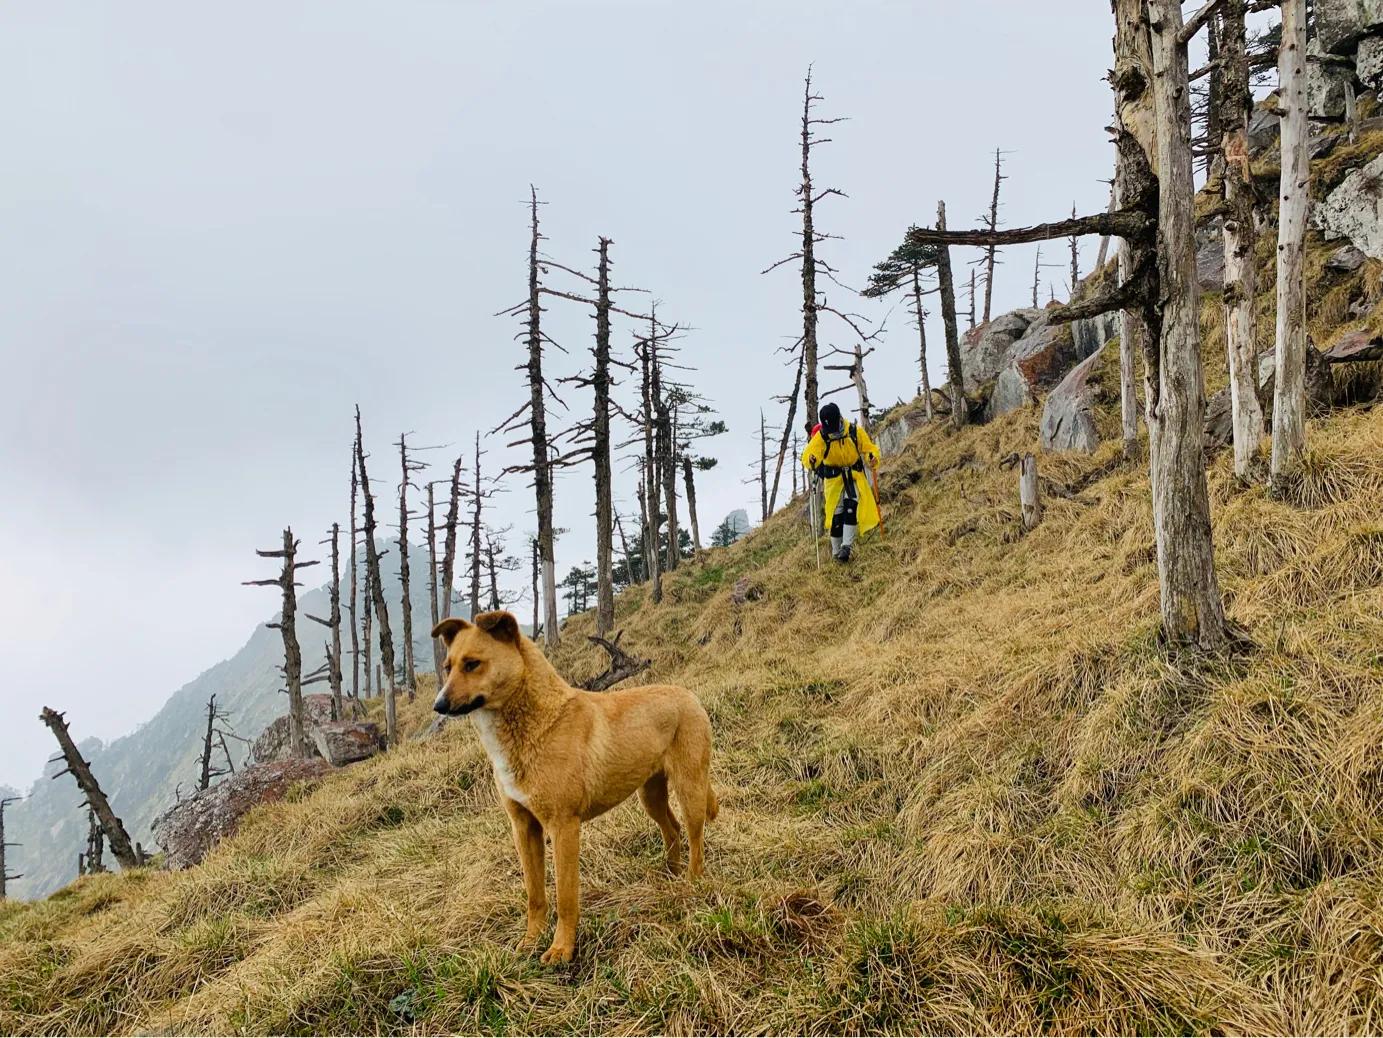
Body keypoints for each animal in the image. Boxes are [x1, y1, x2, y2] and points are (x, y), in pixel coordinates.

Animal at [431, 608, 719, 967]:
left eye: (473, 664)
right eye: (448, 667)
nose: (438, 706)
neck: (536, 723)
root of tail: (690, 696)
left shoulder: (563, 827)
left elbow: (566, 897)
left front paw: (561, 949)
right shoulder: (524, 828)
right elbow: (535, 895)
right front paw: (531, 941)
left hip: (690, 787)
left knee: (696, 839)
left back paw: (692, 883)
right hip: (649, 795)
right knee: (672, 829)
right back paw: (669, 875)